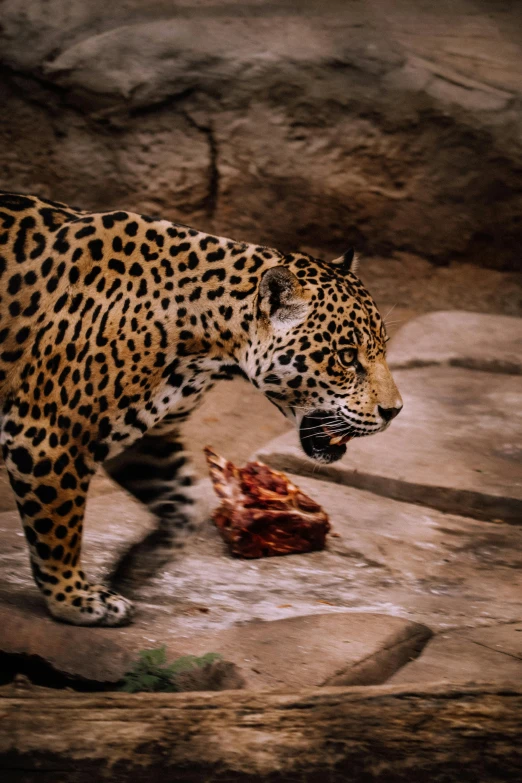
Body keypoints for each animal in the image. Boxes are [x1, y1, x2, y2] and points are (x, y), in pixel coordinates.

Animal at [0, 193, 402, 628]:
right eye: (346, 357)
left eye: (382, 349)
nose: (395, 411)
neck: (208, 343)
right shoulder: (48, 438)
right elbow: (59, 531)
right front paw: (76, 600)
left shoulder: (146, 439)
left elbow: (187, 507)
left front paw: (134, 568)